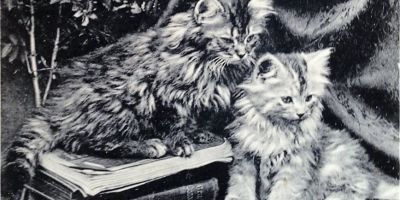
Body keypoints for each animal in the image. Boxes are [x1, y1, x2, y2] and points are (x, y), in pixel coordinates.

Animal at [1, 0, 276, 195]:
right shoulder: (164, 93)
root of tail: (55, 107)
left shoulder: (193, 98)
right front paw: (179, 142)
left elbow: (191, 118)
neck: (206, 63)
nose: (242, 53)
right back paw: (147, 145)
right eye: (227, 40)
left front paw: (197, 133)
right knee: (84, 141)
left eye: (250, 38)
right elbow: (172, 123)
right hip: (121, 103)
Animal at [225, 48, 396, 200]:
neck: (276, 131)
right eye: (286, 99)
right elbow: (241, 185)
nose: (301, 113)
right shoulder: (244, 156)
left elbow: (283, 193)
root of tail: (372, 174)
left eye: (308, 98)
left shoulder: (296, 165)